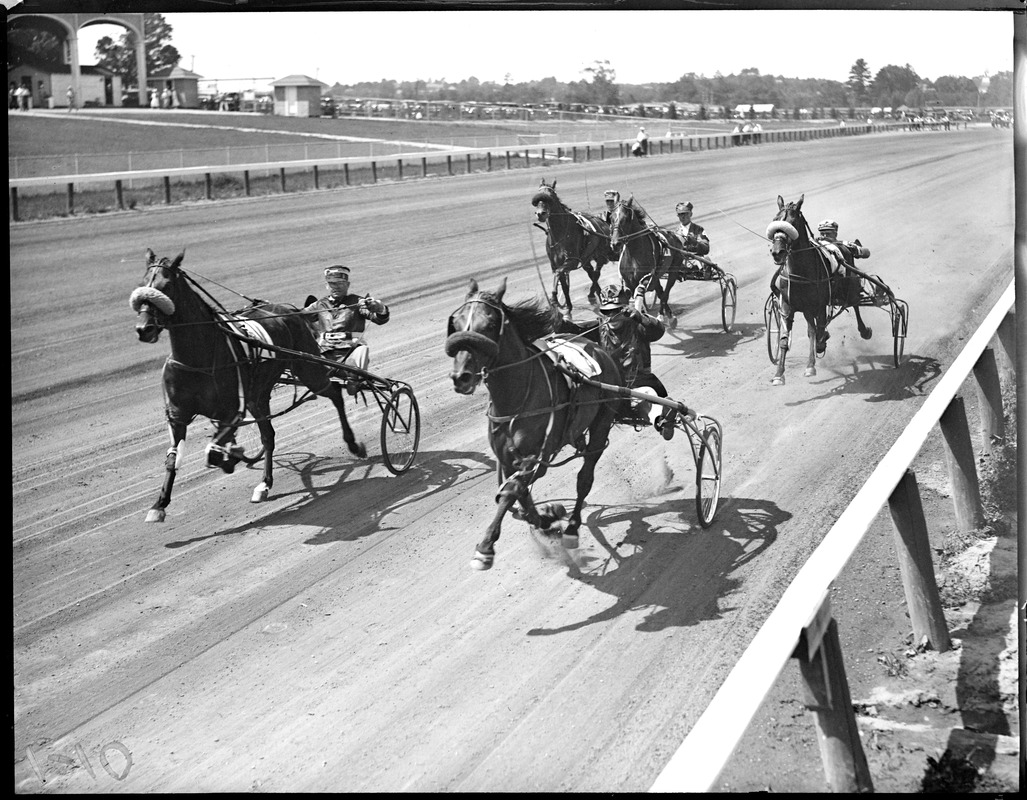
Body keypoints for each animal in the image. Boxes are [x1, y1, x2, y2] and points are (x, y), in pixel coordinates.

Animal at [445, 279, 620, 570]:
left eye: (490, 325)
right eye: (456, 323)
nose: (462, 377)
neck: (515, 399)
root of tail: (596, 347)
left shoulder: (536, 456)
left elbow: (511, 492)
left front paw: (485, 547)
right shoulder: (506, 459)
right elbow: (521, 497)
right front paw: (547, 517)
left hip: (601, 424)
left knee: (585, 477)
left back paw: (572, 528)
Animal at [529, 179, 607, 312]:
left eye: (551, 197)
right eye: (537, 199)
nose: (540, 214)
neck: (559, 235)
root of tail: (602, 222)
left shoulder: (571, 261)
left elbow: (558, 273)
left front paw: (554, 298)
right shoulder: (555, 263)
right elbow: (563, 283)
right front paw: (568, 305)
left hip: (601, 255)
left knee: (596, 274)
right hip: (586, 259)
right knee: (591, 273)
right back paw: (594, 293)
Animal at [603, 195, 686, 326]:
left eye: (625, 219)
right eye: (611, 218)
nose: (615, 244)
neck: (634, 254)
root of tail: (674, 236)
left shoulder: (646, 278)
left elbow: (640, 294)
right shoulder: (629, 282)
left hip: (673, 270)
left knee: (664, 295)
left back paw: (666, 317)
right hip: (657, 275)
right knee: (660, 291)